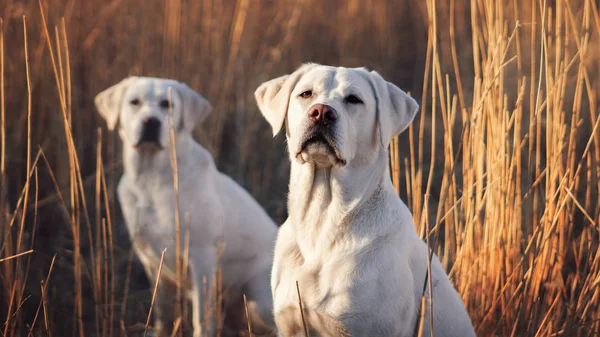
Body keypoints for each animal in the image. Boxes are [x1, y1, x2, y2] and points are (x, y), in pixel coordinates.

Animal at [95, 77, 278, 336]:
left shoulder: (202, 259)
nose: (150, 122)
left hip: (257, 297)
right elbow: (162, 309)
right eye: (134, 102)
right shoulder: (152, 262)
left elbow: (202, 318)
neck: (151, 178)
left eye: (167, 104)